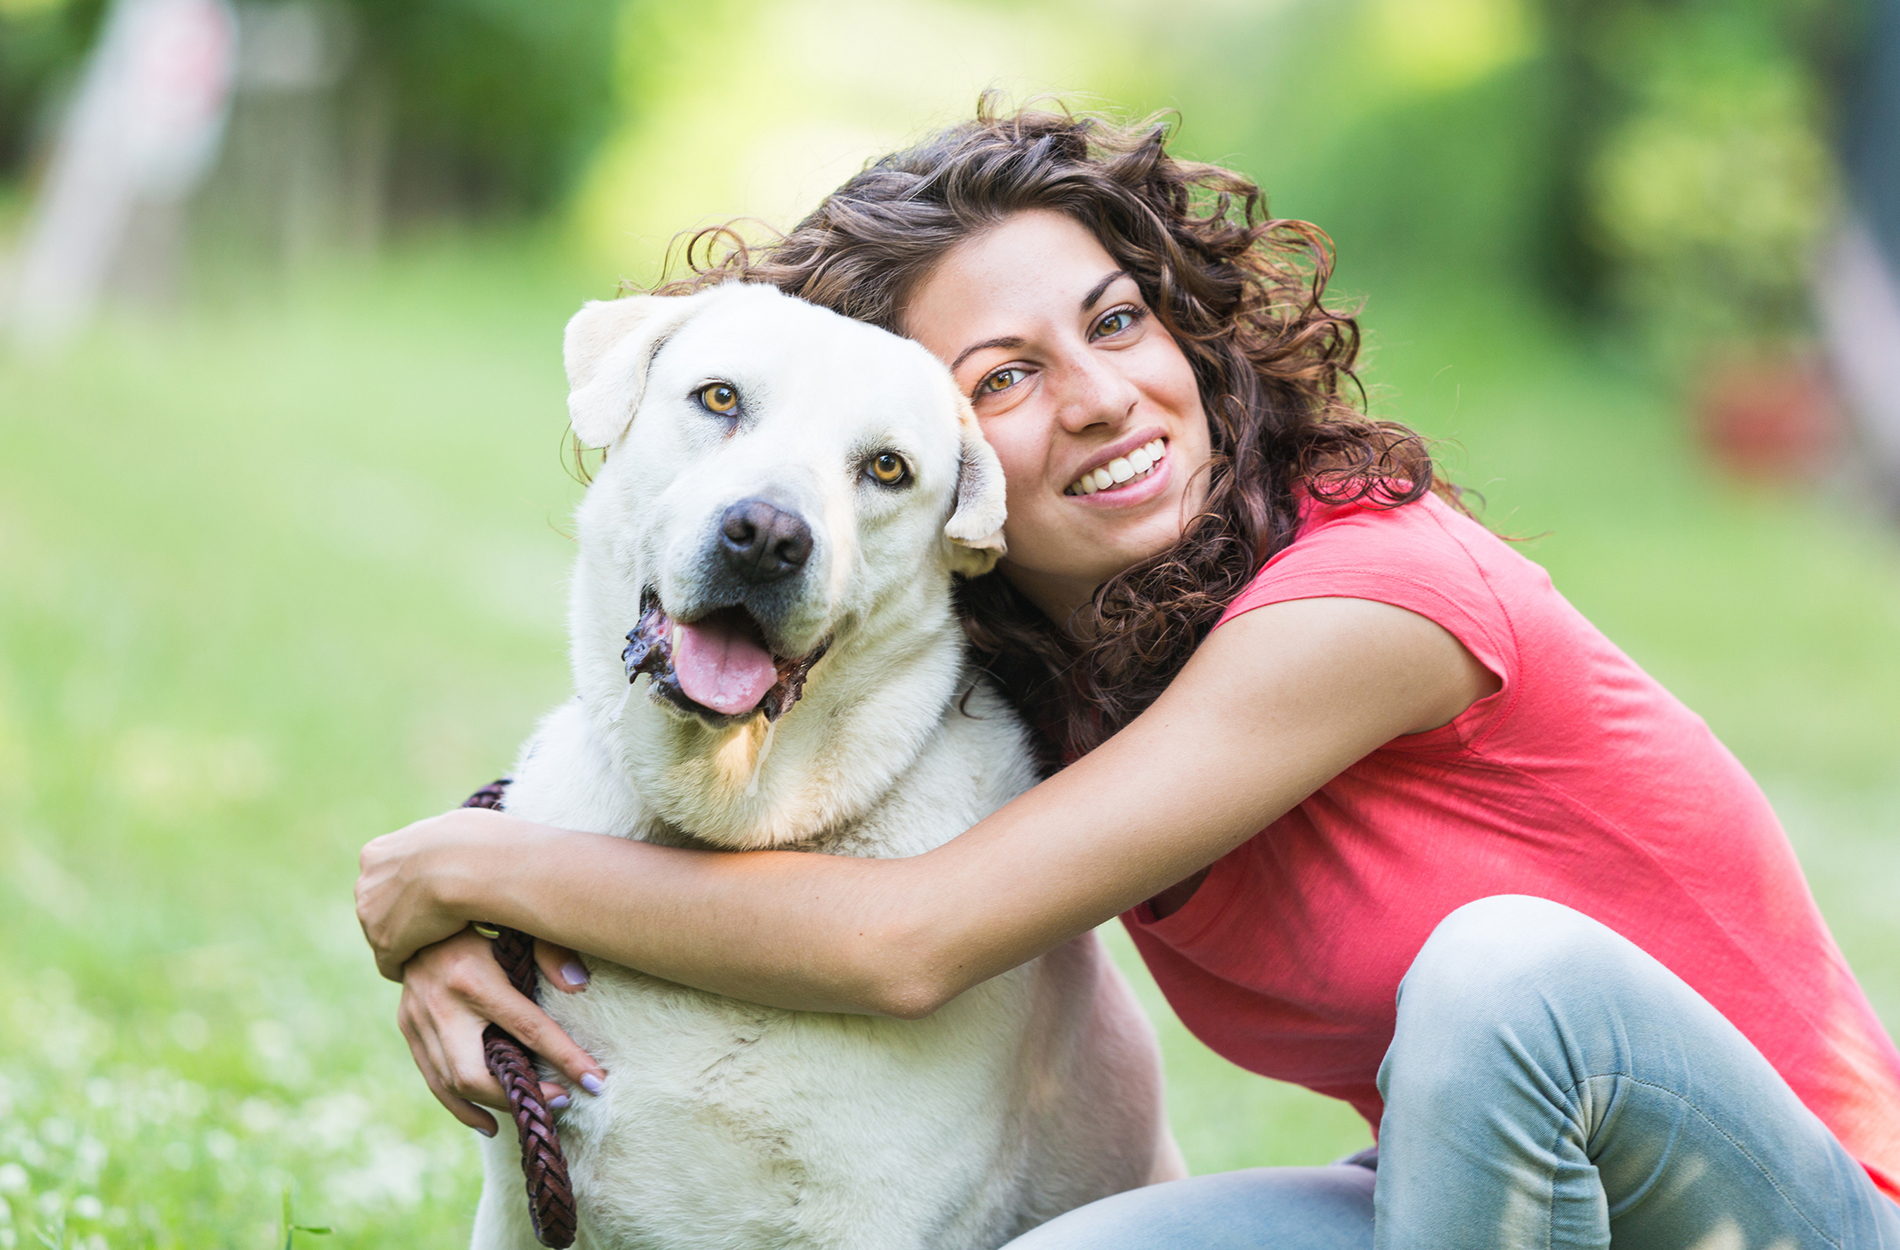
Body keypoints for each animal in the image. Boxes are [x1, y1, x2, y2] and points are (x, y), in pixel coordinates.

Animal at [475, 284, 1178, 1246]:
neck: (718, 838)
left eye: (886, 468)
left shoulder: (872, 1217)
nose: (767, 536)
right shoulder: (520, 1201)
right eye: (720, 398)